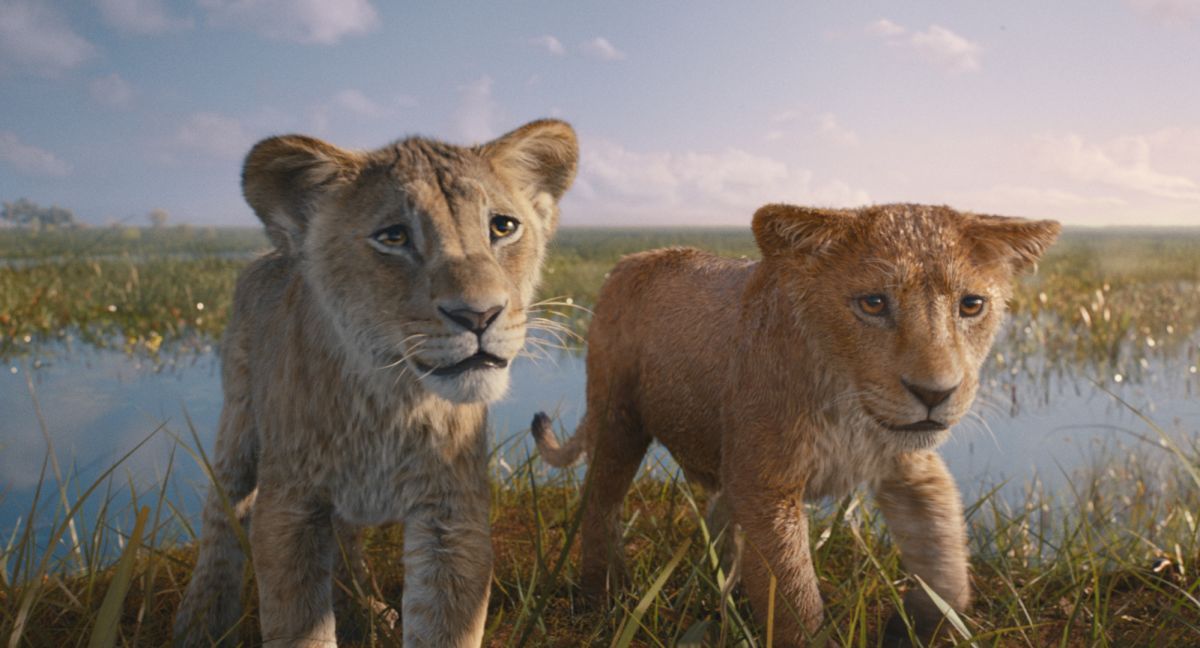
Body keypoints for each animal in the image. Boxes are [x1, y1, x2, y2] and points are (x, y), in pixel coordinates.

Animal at [173, 119, 578, 647]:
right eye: (394, 236)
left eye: (502, 227)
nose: (479, 315)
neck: (391, 400)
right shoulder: (290, 509)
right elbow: (297, 625)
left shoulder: (452, 515)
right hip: (238, 419)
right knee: (222, 513)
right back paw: (200, 621)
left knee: (345, 537)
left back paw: (362, 609)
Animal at [532, 203, 1059, 646]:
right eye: (873, 303)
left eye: (971, 305)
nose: (935, 394)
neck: (849, 407)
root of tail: (631, 258)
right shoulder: (767, 485)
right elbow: (794, 597)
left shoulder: (910, 469)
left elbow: (947, 561)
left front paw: (918, 625)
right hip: (618, 417)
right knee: (601, 502)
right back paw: (603, 596)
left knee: (721, 520)